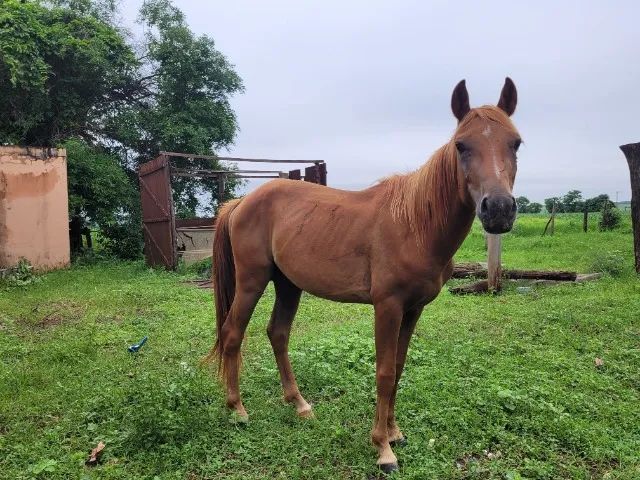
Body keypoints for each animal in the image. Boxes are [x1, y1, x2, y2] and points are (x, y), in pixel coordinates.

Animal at [205, 78, 521, 472]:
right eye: (461, 145)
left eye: (515, 142)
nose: (499, 209)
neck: (415, 225)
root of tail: (241, 203)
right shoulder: (387, 307)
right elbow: (384, 373)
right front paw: (383, 448)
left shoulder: (413, 309)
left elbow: (398, 368)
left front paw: (395, 432)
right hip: (252, 281)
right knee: (233, 334)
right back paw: (238, 409)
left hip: (288, 284)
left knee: (277, 334)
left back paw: (299, 404)